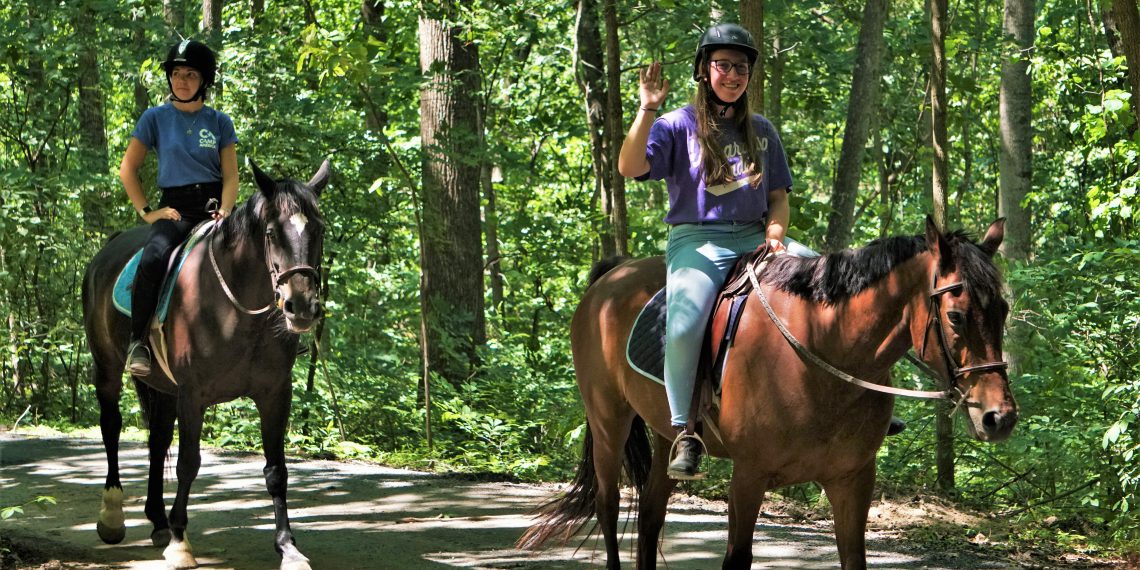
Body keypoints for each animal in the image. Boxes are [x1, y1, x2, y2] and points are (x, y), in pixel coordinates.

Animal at [79, 159, 330, 570]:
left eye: (319, 230)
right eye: (272, 233)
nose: (302, 306)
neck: (237, 309)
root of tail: (108, 247)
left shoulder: (275, 393)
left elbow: (276, 470)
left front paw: (288, 547)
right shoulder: (193, 394)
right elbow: (188, 463)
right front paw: (181, 543)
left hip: (163, 388)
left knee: (157, 439)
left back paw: (157, 521)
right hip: (107, 368)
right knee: (111, 427)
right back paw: (113, 516)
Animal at [522, 215, 1021, 567]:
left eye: (1003, 309)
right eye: (955, 315)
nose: (999, 416)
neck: (824, 350)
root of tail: (612, 275)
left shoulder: (853, 479)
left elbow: (852, 558)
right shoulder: (749, 475)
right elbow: (736, 559)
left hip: (665, 435)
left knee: (649, 517)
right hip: (609, 421)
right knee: (608, 508)